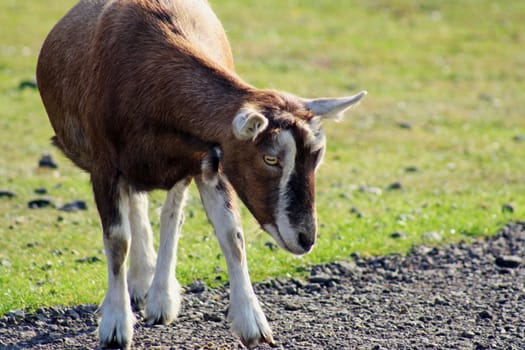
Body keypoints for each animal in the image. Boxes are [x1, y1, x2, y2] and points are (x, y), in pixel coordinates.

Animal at [36, 0, 366, 348]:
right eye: (270, 159)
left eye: (317, 157)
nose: (306, 238)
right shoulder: (105, 166)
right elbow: (117, 239)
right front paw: (115, 326)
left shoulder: (210, 161)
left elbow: (231, 234)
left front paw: (253, 324)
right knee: (138, 206)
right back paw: (140, 284)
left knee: (171, 214)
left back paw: (158, 297)